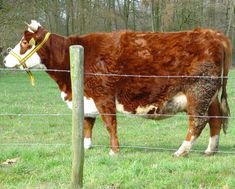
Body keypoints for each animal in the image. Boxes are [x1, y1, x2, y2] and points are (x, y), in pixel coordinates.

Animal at [4, 20, 231, 157]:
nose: (5, 60)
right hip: (210, 95)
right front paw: (86, 146)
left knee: (198, 121)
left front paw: (114, 151)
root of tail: (213, 33)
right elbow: (87, 122)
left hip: (198, 92)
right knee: (215, 118)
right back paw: (210, 150)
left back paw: (181, 151)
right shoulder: (86, 97)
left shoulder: (103, 95)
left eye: (24, 42)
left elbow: (109, 123)